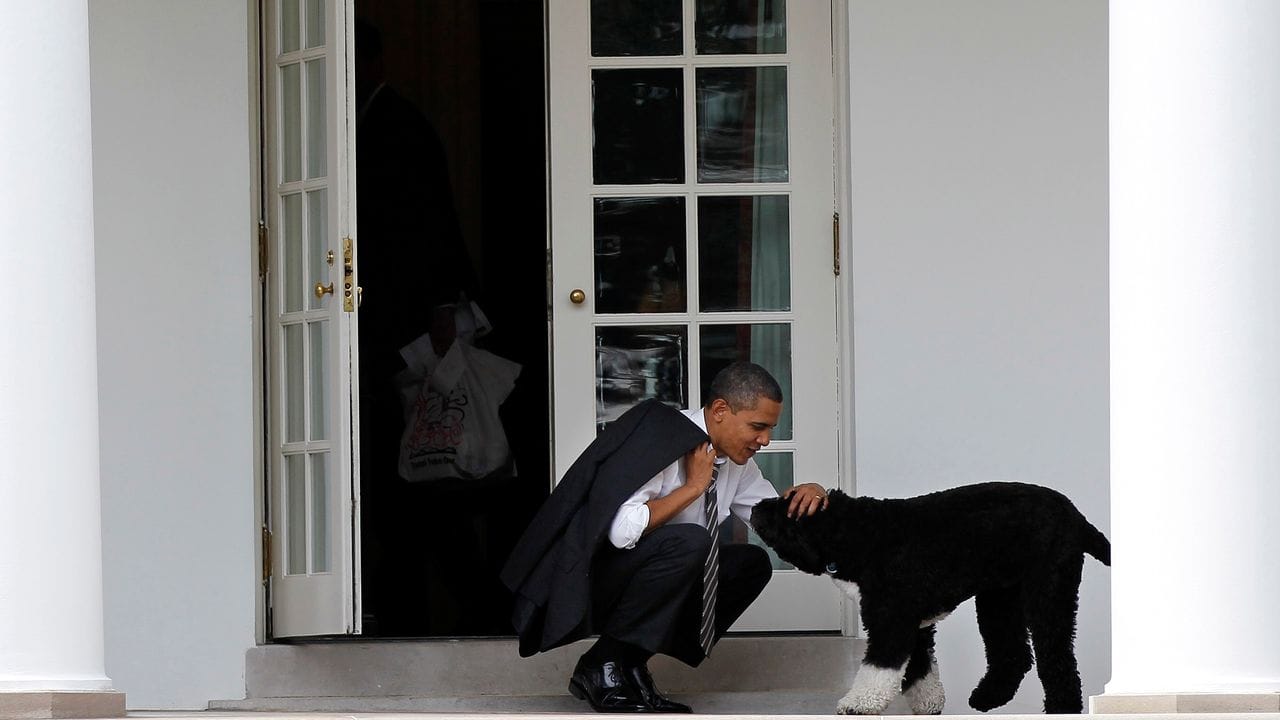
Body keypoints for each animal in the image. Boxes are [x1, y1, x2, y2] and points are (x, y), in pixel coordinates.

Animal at [747, 479, 1111, 707]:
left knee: (1058, 662)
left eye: (785, 507)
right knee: (1013, 655)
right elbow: (920, 669)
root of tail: (1076, 516)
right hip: (999, 597)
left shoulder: (891, 621)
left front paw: (857, 703)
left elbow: (878, 669)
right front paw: (930, 703)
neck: (858, 533)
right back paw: (987, 698)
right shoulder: (915, 625)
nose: (754, 508)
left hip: (1049, 593)